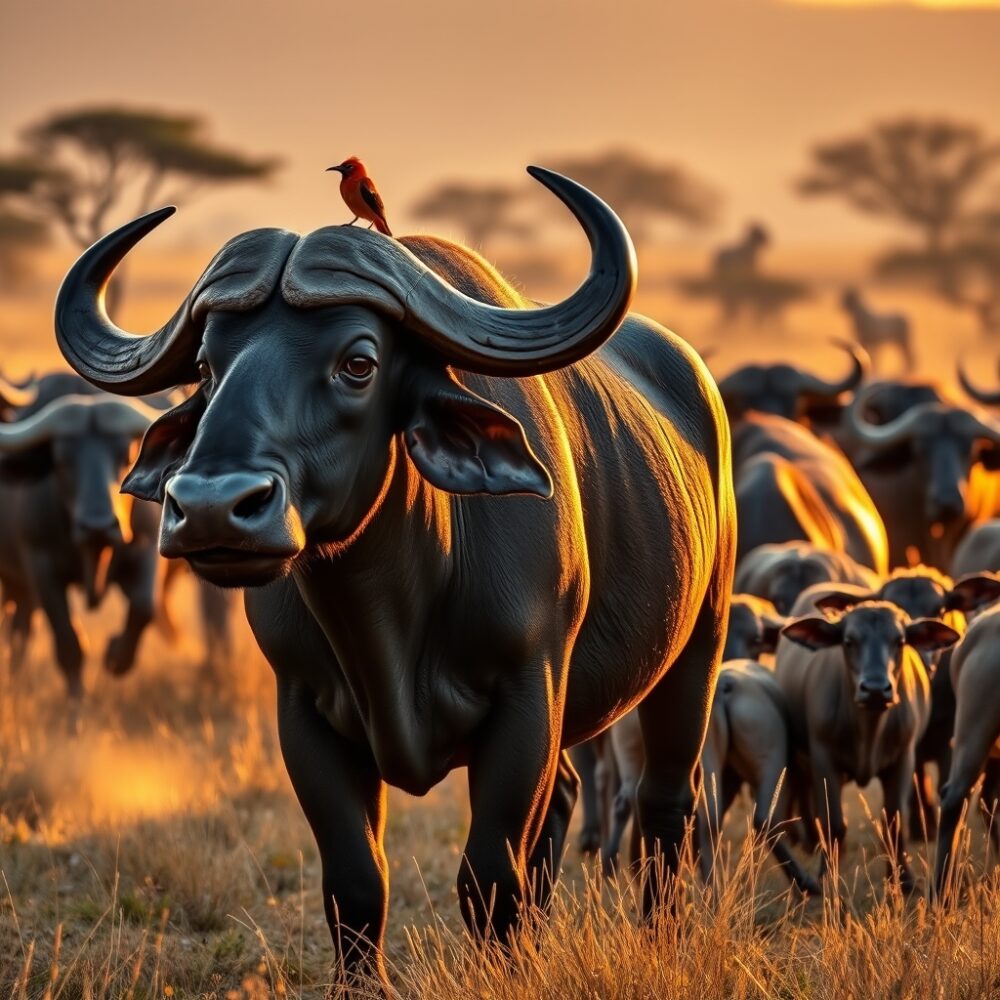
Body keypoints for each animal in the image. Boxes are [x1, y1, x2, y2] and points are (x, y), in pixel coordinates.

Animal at [54, 168, 736, 986]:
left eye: (359, 362)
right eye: (209, 367)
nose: (215, 507)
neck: (391, 612)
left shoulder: (527, 696)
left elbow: (488, 875)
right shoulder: (304, 712)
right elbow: (356, 880)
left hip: (696, 648)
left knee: (666, 805)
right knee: (567, 802)